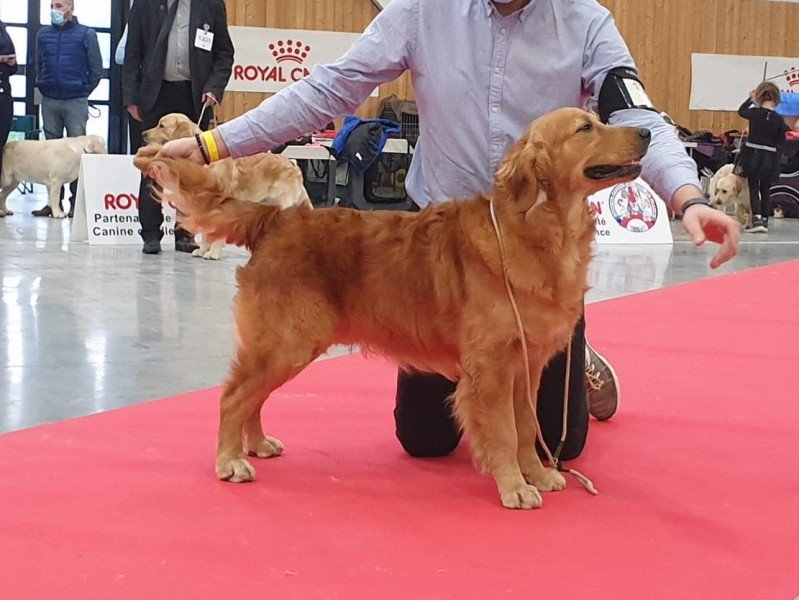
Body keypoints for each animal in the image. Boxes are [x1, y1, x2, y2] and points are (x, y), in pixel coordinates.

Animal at [142, 113, 310, 258]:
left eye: (161, 125)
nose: (143, 133)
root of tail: (293, 165)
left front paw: (213, 253)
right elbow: (206, 233)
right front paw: (202, 250)